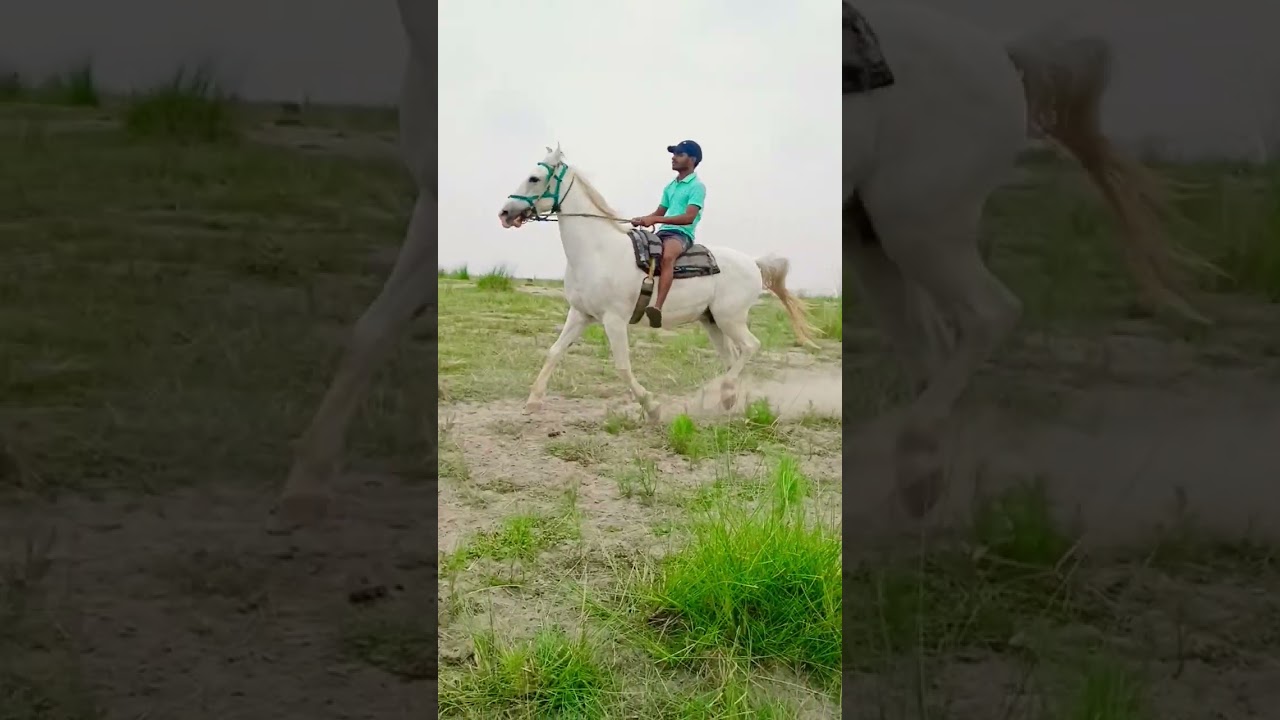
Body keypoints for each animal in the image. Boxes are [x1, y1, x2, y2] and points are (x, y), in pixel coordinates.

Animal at [496, 144, 820, 422]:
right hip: (712, 321)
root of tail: (753, 263)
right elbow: (554, 351)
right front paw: (533, 401)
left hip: (731, 318)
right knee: (732, 358)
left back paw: (721, 393)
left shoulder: (614, 320)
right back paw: (727, 401)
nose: (505, 213)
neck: (598, 251)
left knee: (751, 347)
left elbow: (622, 367)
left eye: (534, 178)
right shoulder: (580, 314)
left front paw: (652, 407)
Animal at [843, 0, 1213, 516]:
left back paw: (919, 465)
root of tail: (1000, 50)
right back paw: (923, 483)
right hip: (871, 235)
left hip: (916, 224)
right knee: (927, 346)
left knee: (988, 315)